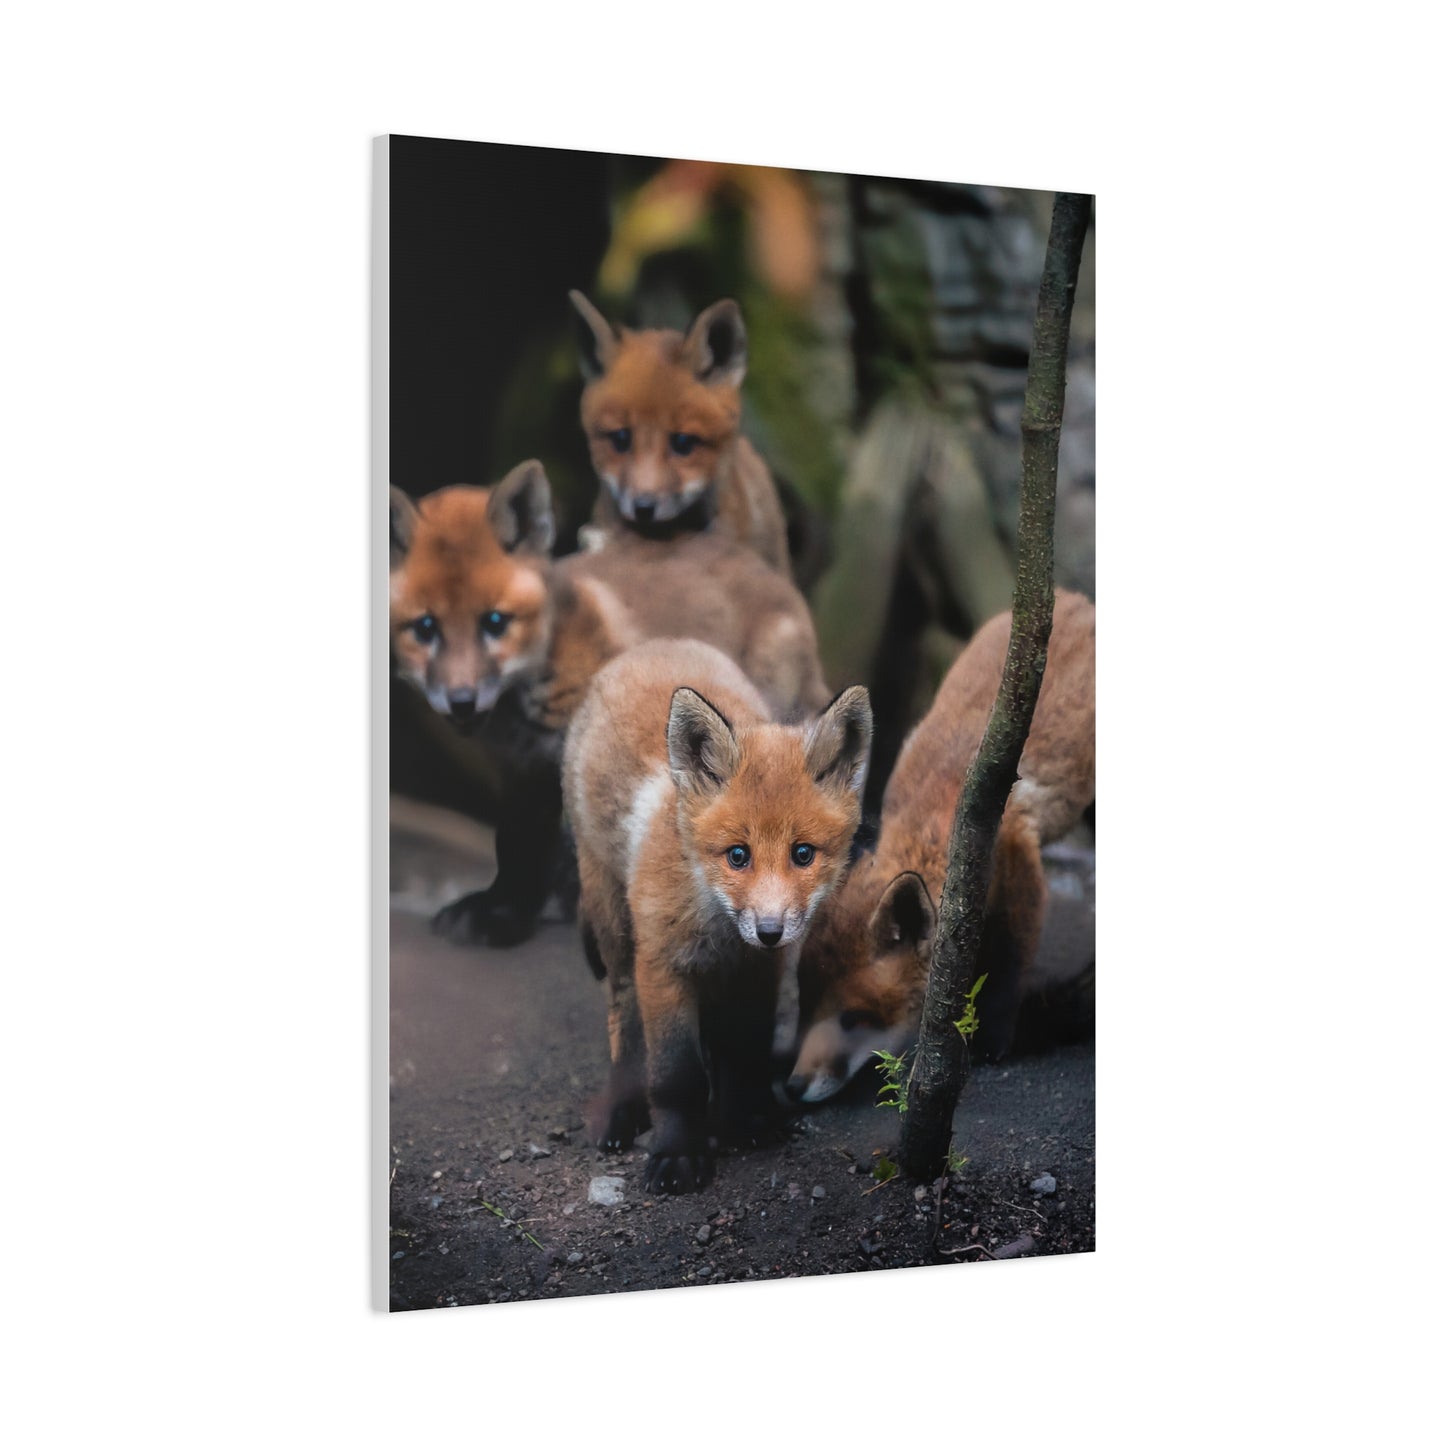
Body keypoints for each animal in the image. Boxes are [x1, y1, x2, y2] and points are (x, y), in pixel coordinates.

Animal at [389, 460, 831, 947]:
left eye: (495, 622)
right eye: (425, 628)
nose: (462, 701)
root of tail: (761, 567)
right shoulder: (523, 767)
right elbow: (515, 841)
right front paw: (503, 907)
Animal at [564, 638, 872, 1193]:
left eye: (802, 854)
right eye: (737, 856)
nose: (769, 931)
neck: (720, 931)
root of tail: (654, 645)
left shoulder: (758, 973)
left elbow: (744, 1052)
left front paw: (746, 1121)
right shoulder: (662, 965)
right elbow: (675, 1075)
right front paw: (676, 1153)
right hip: (614, 930)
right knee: (623, 1018)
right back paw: (622, 1112)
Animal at [786, 589, 1095, 1104]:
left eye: (853, 1019)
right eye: (806, 1008)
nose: (792, 1087)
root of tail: (1074, 598)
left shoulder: (1019, 860)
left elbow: (1010, 962)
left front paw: (990, 1041)